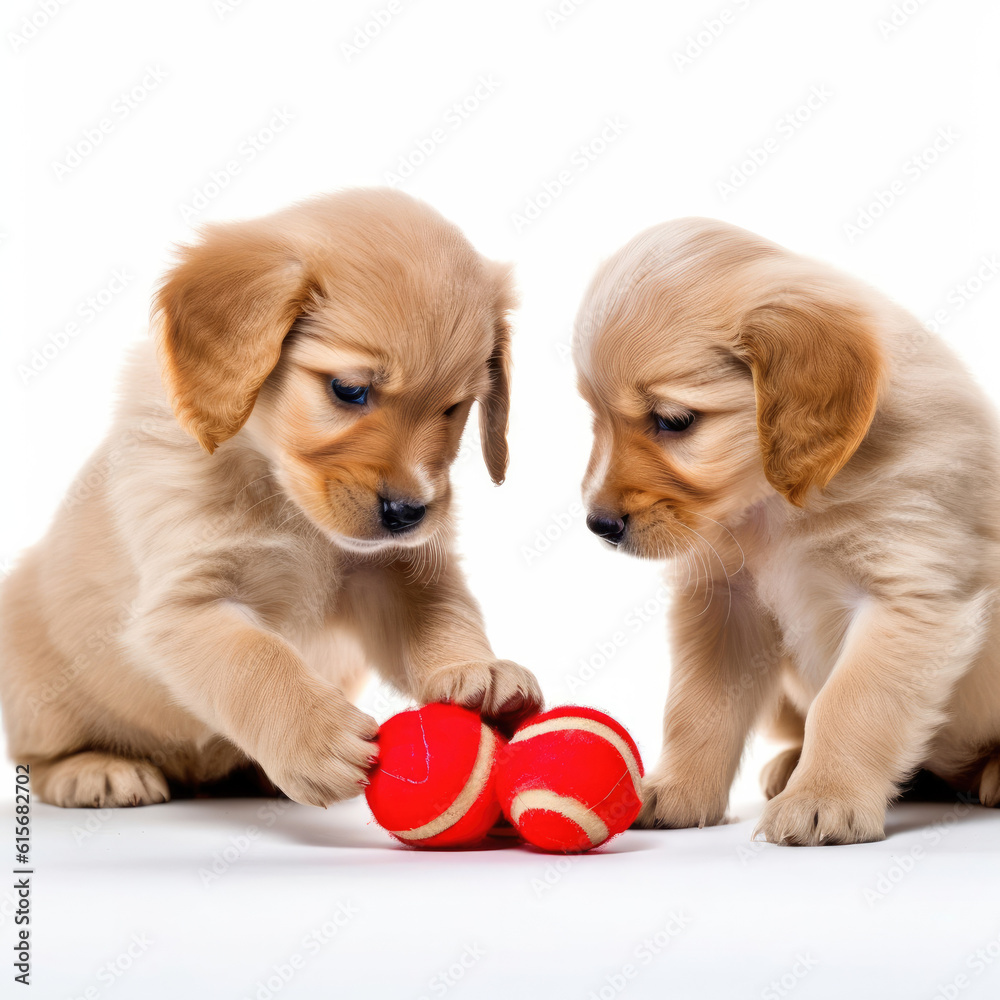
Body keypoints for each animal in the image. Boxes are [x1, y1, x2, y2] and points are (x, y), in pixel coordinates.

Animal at [0, 189, 544, 812]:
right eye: (349, 390)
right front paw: (316, 735)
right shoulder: (184, 607)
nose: (409, 514)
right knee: (40, 756)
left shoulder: (394, 570)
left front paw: (477, 670)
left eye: (454, 408)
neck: (285, 499)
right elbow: (256, 661)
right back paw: (95, 769)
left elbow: (441, 616)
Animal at [572, 217, 1000, 844]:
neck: (776, 506)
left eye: (674, 421)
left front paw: (825, 797)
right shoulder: (725, 601)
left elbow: (851, 701)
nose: (598, 525)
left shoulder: (908, 595)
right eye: (594, 419)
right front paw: (678, 790)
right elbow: (696, 707)